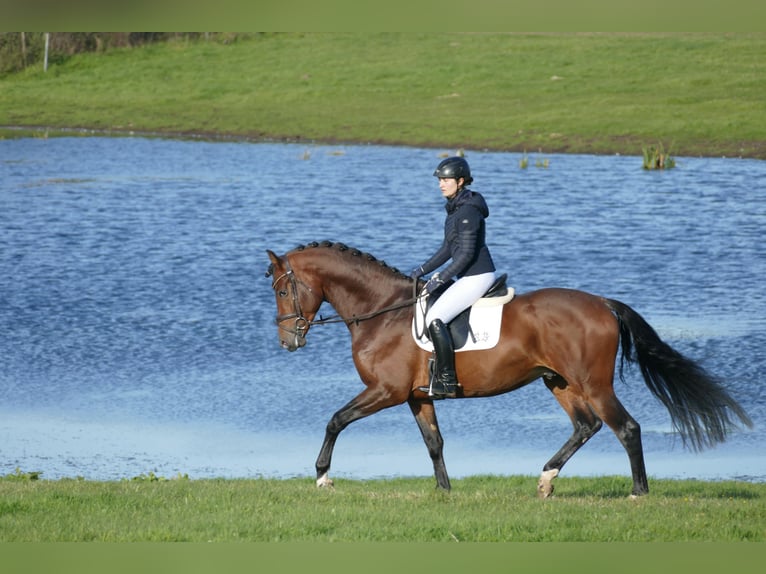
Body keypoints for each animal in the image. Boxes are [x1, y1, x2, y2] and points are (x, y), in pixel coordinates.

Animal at [268, 241, 752, 498]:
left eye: (283, 290)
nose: (288, 341)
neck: (383, 311)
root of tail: (602, 304)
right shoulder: (415, 396)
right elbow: (434, 443)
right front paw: (444, 492)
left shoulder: (385, 391)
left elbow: (335, 420)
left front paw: (322, 477)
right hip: (560, 382)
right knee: (586, 426)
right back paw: (546, 481)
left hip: (592, 382)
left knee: (625, 427)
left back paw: (637, 492)